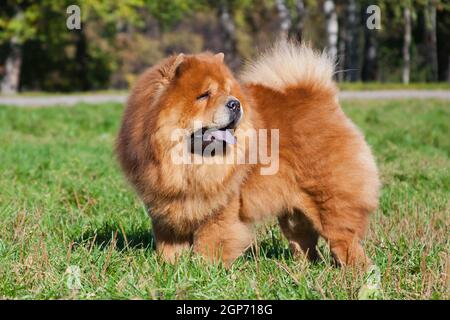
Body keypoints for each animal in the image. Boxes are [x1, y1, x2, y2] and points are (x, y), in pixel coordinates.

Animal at [116, 41, 380, 266]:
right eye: (204, 95)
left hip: (330, 200)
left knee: (344, 239)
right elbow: (168, 245)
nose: (235, 103)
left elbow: (209, 243)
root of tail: (319, 96)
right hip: (294, 213)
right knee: (304, 242)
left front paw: (203, 270)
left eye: (228, 92)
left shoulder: (221, 209)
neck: (188, 164)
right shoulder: (166, 209)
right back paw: (303, 269)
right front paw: (171, 267)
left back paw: (355, 271)